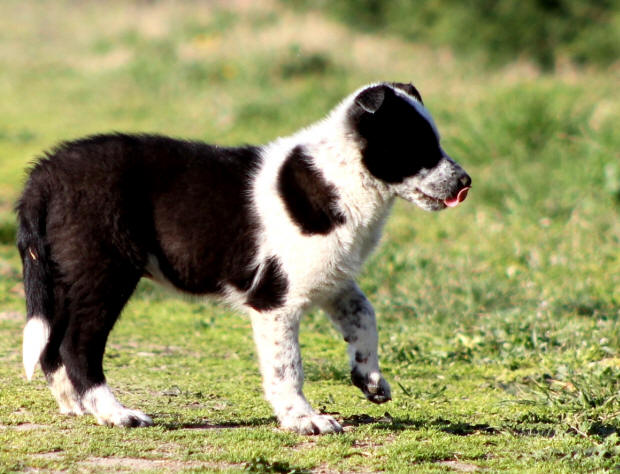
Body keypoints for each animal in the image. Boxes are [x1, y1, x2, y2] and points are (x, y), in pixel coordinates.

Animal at [17, 81, 470, 434]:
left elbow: (365, 315)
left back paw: (77, 406)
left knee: (52, 347)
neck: (344, 173)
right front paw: (303, 419)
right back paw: (114, 413)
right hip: (104, 271)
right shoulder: (275, 298)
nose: (465, 182)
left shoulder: (331, 279)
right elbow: (287, 366)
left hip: (63, 275)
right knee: (77, 347)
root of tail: (45, 174)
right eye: (417, 146)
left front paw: (370, 378)